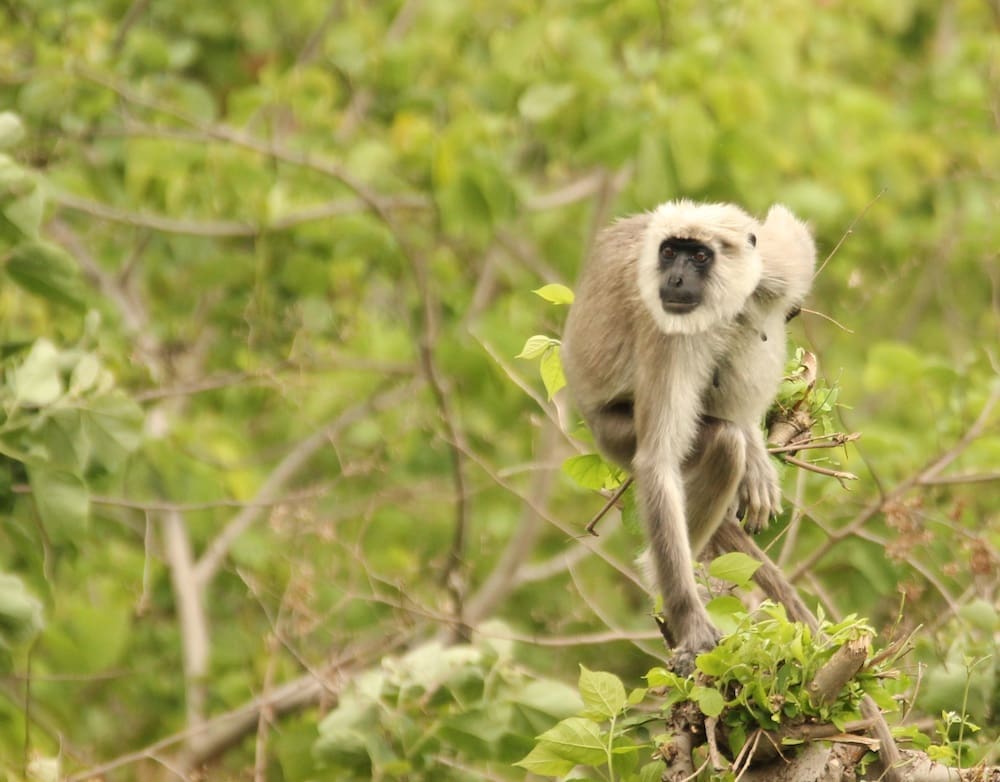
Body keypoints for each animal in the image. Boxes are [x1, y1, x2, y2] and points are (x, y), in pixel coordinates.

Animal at [560, 202, 816, 672]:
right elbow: (657, 464)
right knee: (723, 443)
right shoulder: (667, 331)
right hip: (614, 432)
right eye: (669, 253)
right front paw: (693, 628)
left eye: (699, 256)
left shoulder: (772, 267)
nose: (676, 279)